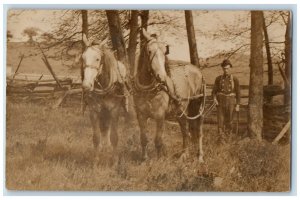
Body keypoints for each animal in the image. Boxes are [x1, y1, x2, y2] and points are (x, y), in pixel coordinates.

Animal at [134, 28, 206, 162]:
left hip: (198, 105)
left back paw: (199, 156)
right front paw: (144, 159)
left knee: (198, 131)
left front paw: (159, 160)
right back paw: (184, 155)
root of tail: (198, 71)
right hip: (180, 111)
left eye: (164, 52)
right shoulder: (141, 115)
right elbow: (143, 138)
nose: (161, 77)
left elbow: (158, 140)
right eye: (149, 51)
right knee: (185, 131)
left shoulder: (160, 116)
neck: (148, 90)